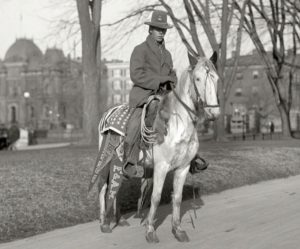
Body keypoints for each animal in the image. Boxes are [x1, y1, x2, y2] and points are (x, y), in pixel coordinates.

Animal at [96, 51, 220, 242]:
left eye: (216, 78)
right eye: (198, 78)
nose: (214, 112)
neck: (178, 124)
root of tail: (108, 113)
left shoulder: (183, 167)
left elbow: (177, 198)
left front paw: (178, 230)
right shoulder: (161, 167)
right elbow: (155, 197)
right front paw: (150, 231)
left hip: (122, 164)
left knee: (117, 188)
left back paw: (119, 220)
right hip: (107, 159)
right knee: (103, 187)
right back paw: (104, 223)